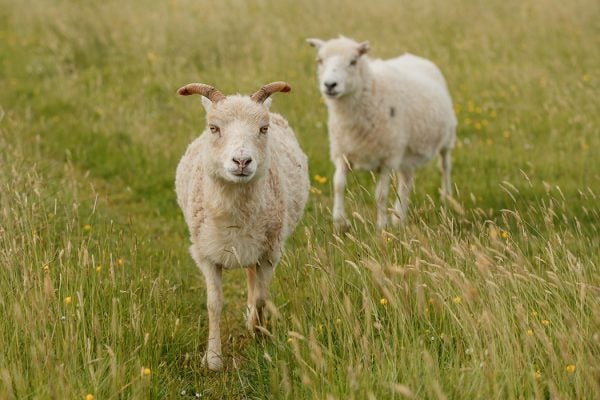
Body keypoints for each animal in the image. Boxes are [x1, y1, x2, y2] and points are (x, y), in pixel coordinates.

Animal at [175, 82, 310, 372]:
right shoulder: (206, 255)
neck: (235, 214)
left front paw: (256, 332)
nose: (241, 162)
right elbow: (214, 304)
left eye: (263, 129)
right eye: (213, 128)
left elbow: (260, 297)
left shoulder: (269, 253)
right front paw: (213, 358)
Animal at [308, 38, 458, 231]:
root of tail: (415, 57)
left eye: (353, 61)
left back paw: (447, 196)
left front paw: (381, 226)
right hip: (406, 151)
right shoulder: (343, 152)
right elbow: (338, 185)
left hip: (446, 137)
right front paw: (340, 222)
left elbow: (381, 194)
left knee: (444, 166)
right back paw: (399, 217)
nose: (330, 85)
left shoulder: (388, 158)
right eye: (320, 60)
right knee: (406, 182)